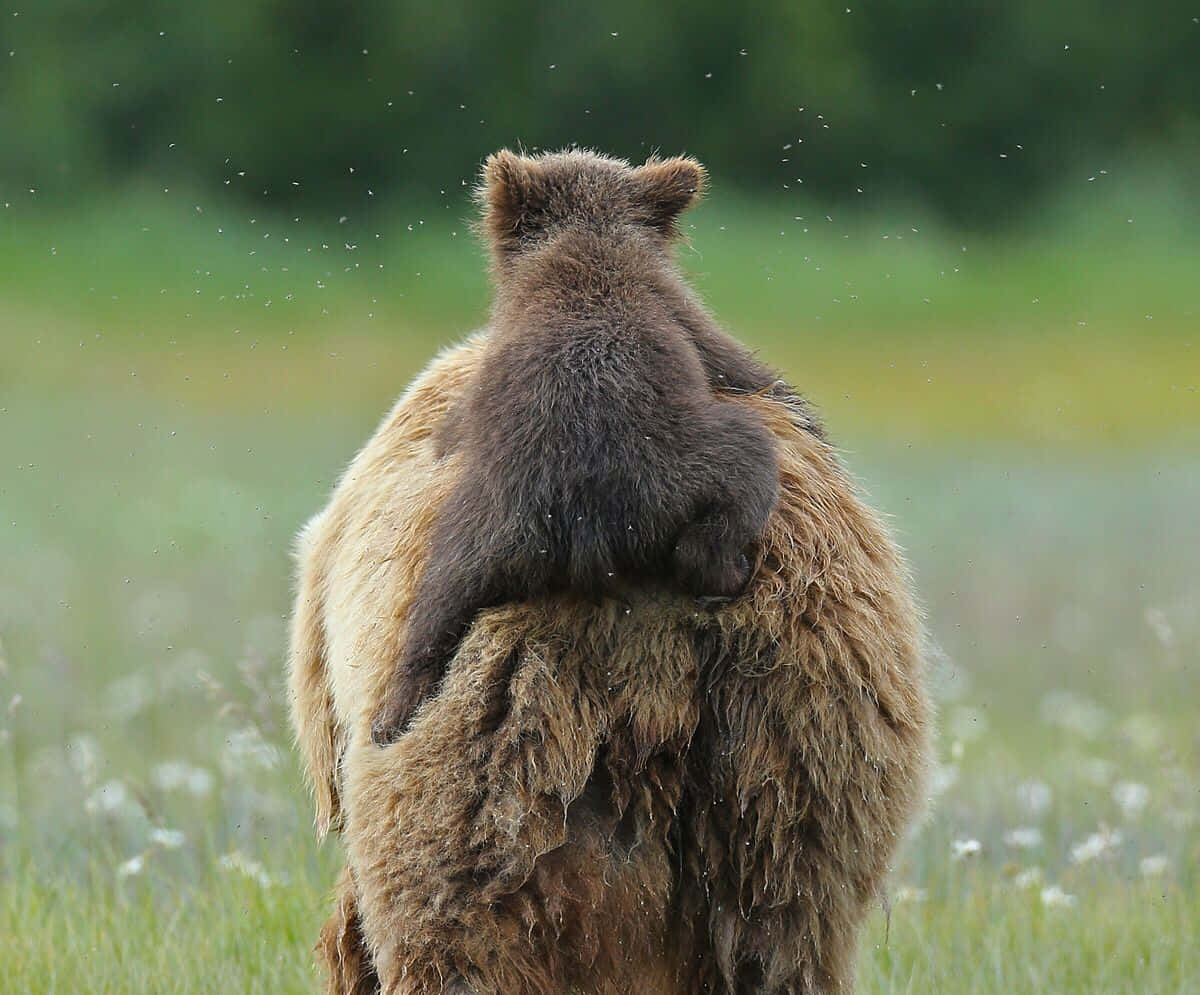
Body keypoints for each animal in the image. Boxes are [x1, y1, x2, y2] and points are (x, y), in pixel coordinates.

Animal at [370, 150, 782, 747]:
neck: (588, 233)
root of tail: (588, 521)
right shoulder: (680, 314)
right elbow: (747, 371)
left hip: (483, 528)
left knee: (439, 603)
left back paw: (393, 712)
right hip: (675, 464)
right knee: (740, 479)